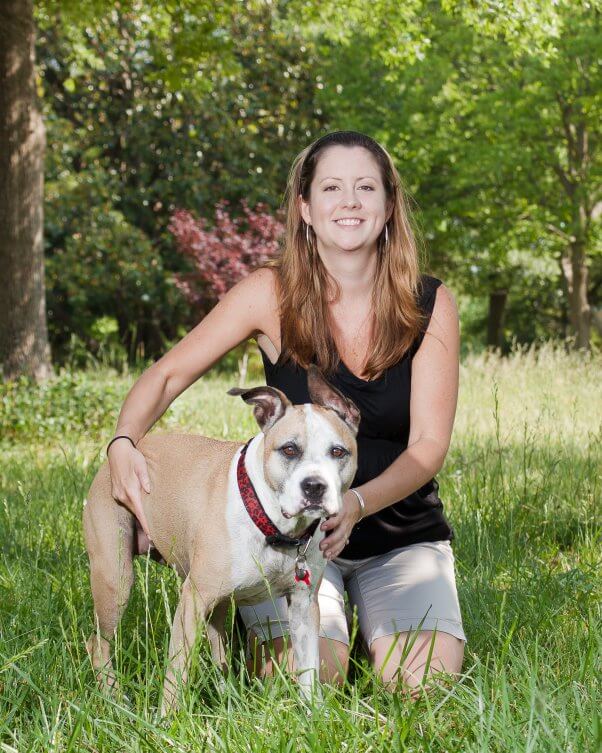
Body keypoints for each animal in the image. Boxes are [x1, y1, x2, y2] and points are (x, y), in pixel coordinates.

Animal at [83, 364, 356, 712]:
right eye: (289, 449)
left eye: (338, 452)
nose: (314, 486)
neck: (272, 524)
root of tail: (119, 453)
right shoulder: (192, 601)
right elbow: (176, 674)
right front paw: (165, 720)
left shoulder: (303, 606)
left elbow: (309, 673)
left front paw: (313, 716)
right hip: (116, 578)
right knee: (97, 644)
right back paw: (115, 699)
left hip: (218, 603)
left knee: (219, 651)